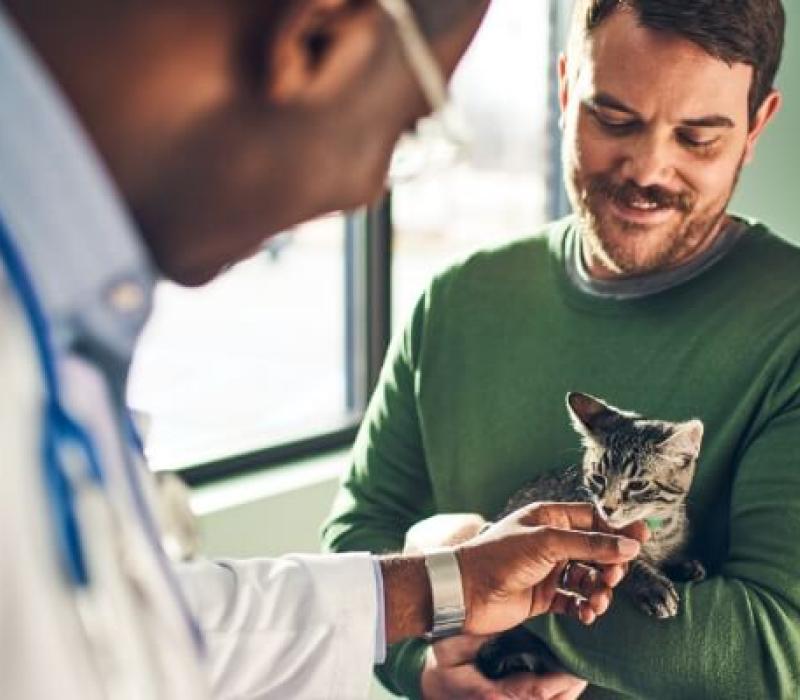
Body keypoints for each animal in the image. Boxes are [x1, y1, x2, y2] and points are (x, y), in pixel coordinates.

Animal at [476, 392, 708, 680]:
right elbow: (627, 562)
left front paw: (685, 565)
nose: (607, 508)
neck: (653, 531)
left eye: (638, 485)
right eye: (598, 478)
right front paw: (652, 586)